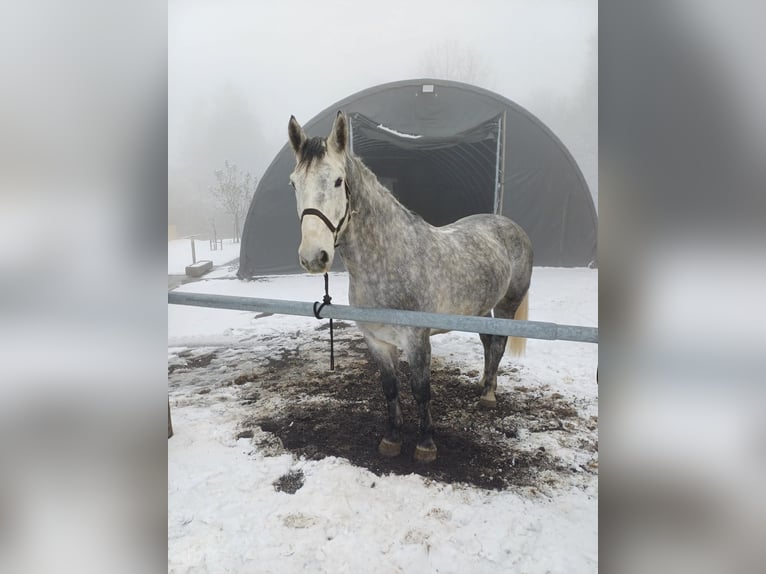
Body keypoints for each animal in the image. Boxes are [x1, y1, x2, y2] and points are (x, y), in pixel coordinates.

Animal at [288, 111, 536, 464]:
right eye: (294, 183)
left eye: (337, 181)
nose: (313, 257)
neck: (389, 258)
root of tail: (510, 226)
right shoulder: (377, 341)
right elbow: (390, 388)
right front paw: (392, 438)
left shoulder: (417, 340)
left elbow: (421, 390)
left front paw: (425, 444)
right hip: (479, 307)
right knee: (489, 343)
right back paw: (484, 383)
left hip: (506, 304)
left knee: (499, 344)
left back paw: (488, 394)